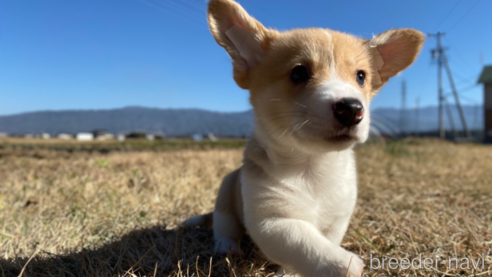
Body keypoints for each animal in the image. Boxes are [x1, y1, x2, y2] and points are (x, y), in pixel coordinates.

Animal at [183, 1, 424, 274]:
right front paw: (343, 264)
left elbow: (323, 241)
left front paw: (291, 272)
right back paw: (227, 246)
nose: (352, 108)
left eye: (361, 76)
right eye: (298, 73)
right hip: (226, 191)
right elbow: (306, 242)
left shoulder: (338, 219)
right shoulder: (270, 221)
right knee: (224, 224)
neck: (313, 166)